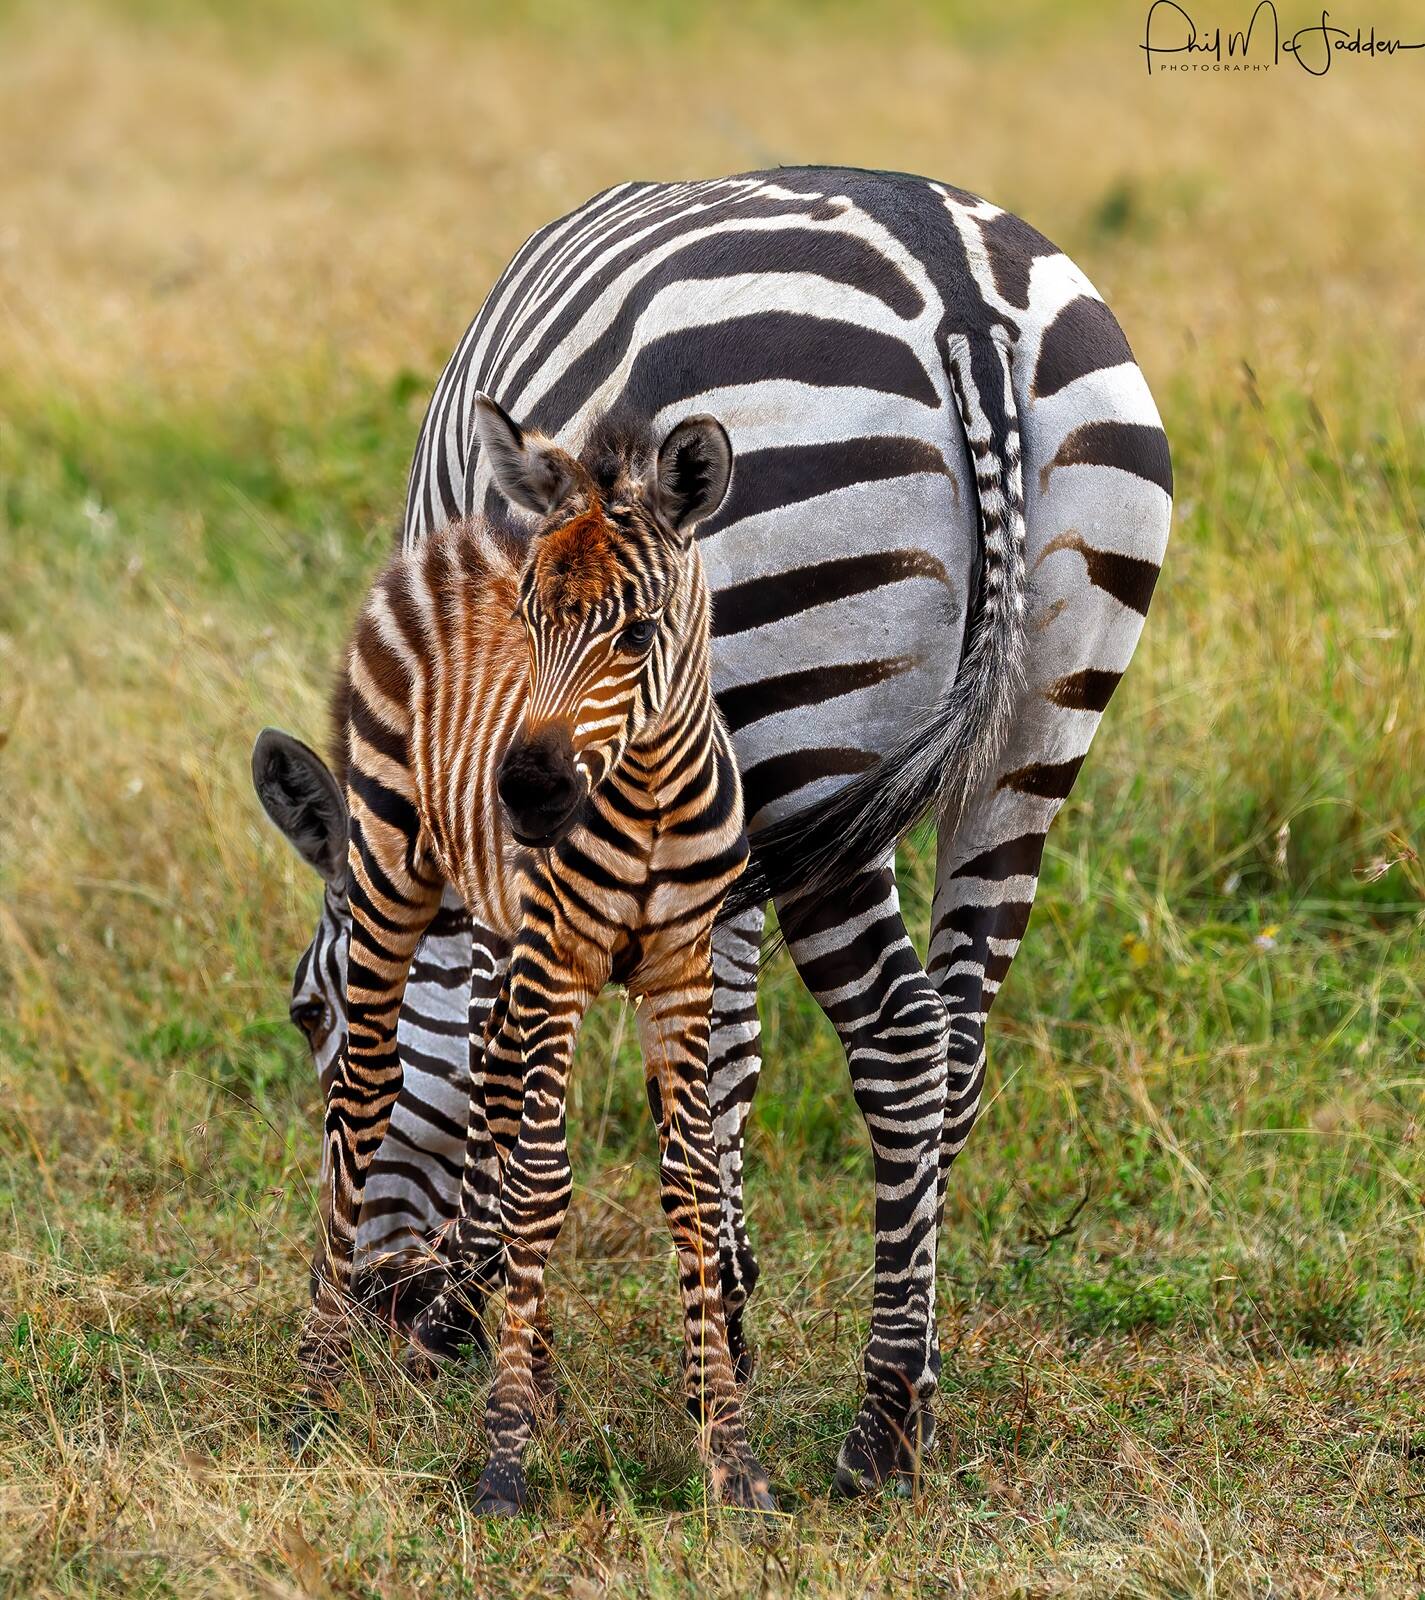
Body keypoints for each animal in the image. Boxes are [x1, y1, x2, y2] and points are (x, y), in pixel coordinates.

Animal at [264, 398, 777, 1514]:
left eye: (637, 634)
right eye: (532, 622)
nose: (527, 795)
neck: (648, 798)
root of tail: (459, 539)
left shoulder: (680, 968)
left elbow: (691, 1185)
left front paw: (730, 1451)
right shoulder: (560, 962)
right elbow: (541, 1182)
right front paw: (504, 1454)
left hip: (501, 930)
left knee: (492, 1091)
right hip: (392, 870)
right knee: (367, 1100)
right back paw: (312, 1393)